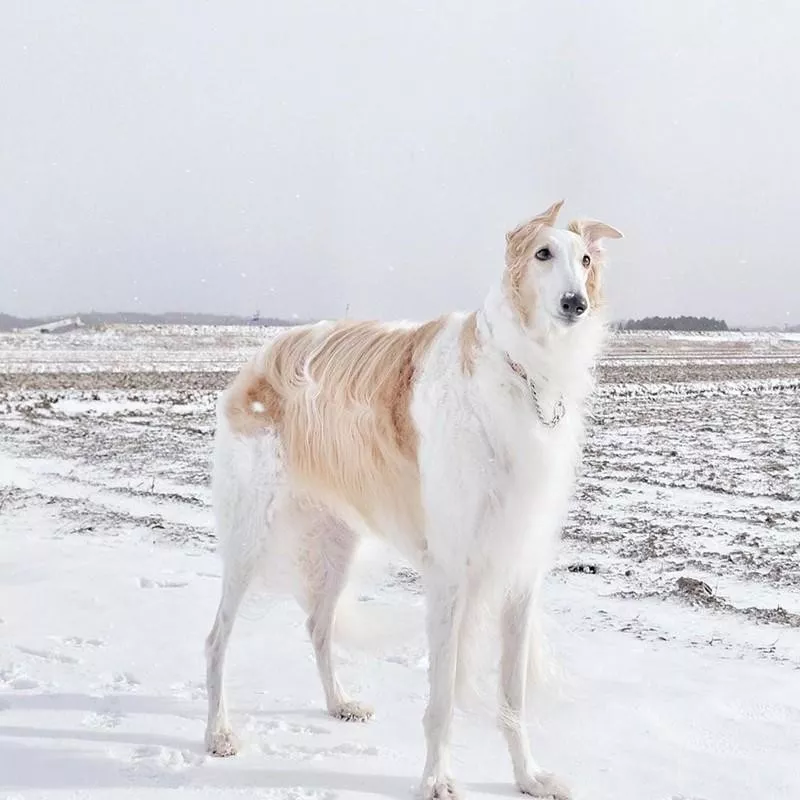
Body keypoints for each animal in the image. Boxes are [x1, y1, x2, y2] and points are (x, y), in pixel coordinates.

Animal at [203, 200, 620, 800]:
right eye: (542, 253)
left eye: (585, 259)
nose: (575, 304)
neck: (520, 373)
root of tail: (267, 352)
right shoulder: (450, 572)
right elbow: (441, 700)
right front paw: (437, 780)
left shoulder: (520, 573)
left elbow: (513, 698)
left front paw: (529, 777)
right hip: (248, 542)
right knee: (217, 639)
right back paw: (219, 733)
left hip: (337, 545)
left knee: (318, 627)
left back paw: (339, 703)